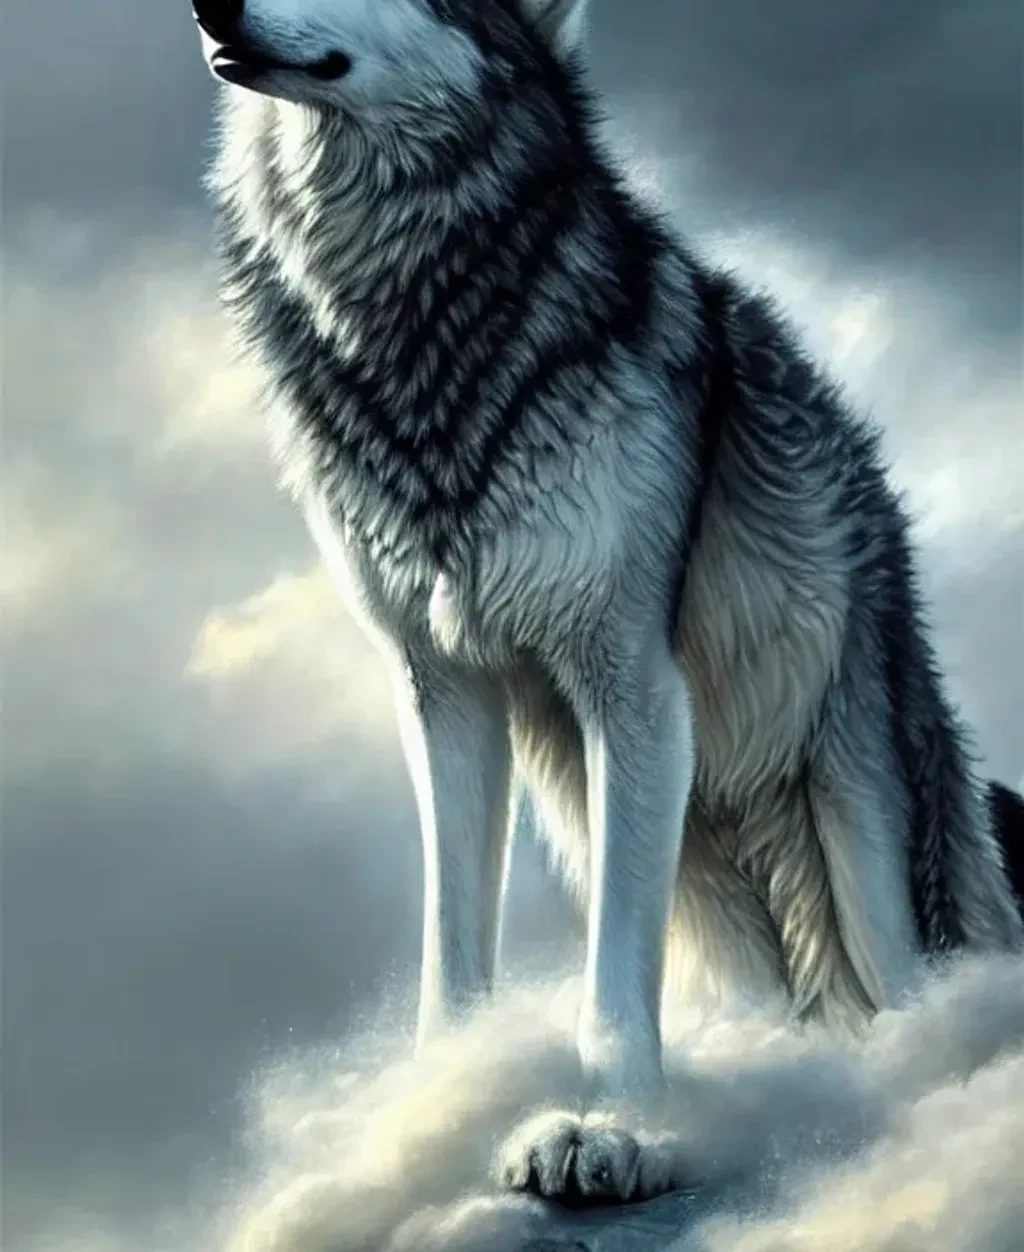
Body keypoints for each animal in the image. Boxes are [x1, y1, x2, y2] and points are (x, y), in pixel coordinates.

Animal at [191, 0, 1024, 1205]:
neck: (412, 320)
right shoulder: (443, 695)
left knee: (909, 988)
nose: (208, 11)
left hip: (845, 803)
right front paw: (437, 1111)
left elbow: (614, 971)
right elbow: (455, 945)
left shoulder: (627, 677)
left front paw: (611, 1125)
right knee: (767, 993)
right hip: (637, 830)